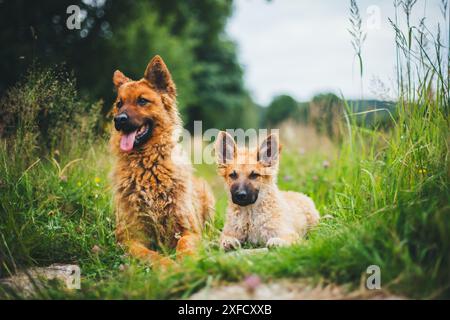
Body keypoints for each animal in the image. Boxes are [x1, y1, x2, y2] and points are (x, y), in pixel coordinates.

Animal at [109, 55, 214, 268]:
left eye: (142, 101)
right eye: (119, 104)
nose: (119, 120)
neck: (147, 166)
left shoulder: (189, 230)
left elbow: (184, 244)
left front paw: (186, 264)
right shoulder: (130, 239)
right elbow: (150, 255)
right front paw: (169, 267)